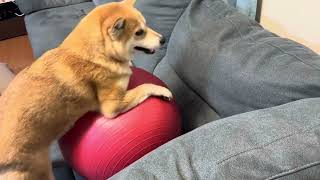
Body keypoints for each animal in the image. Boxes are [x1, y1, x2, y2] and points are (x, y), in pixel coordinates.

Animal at [0, 0, 172, 179]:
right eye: (139, 32)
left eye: (146, 25)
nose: (163, 39)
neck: (97, 53)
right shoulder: (112, 105)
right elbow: (144, 86)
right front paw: (162, 90)